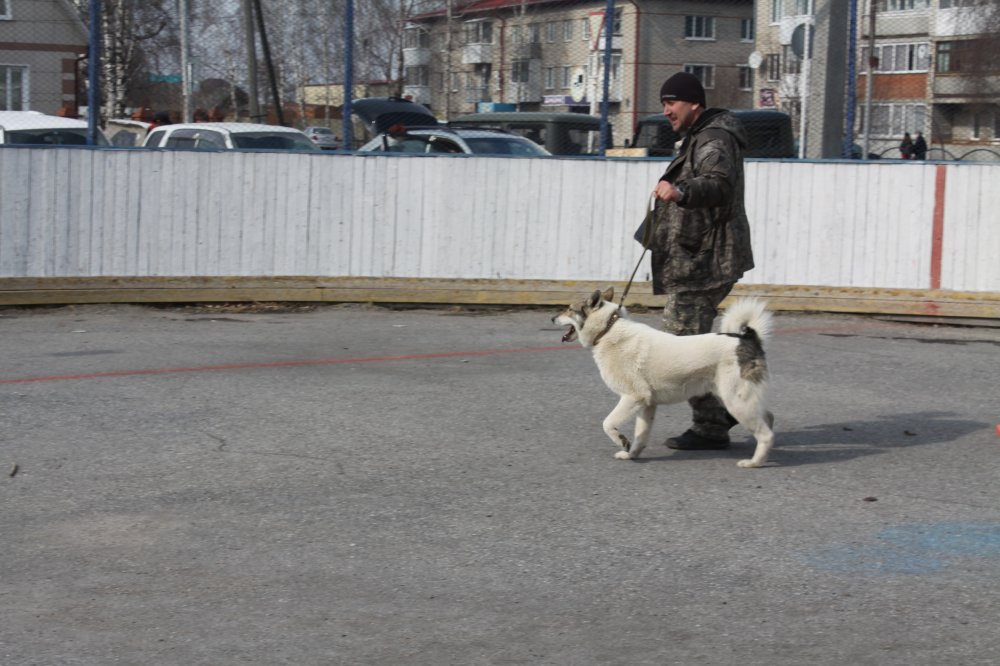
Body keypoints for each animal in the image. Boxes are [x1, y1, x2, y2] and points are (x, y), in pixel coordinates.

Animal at [552, 288, 775, 468]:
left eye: (569, 309)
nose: (552, 319)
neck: (607, 330)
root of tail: (747, 337)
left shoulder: (633, 397)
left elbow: (607, 423)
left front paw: (621, 440)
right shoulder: (647, 404)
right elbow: (640, 436)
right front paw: (631, 454)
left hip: (736, 402)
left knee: (766, 433)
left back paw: (754, 462)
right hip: (735, 398)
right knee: (769, 419)